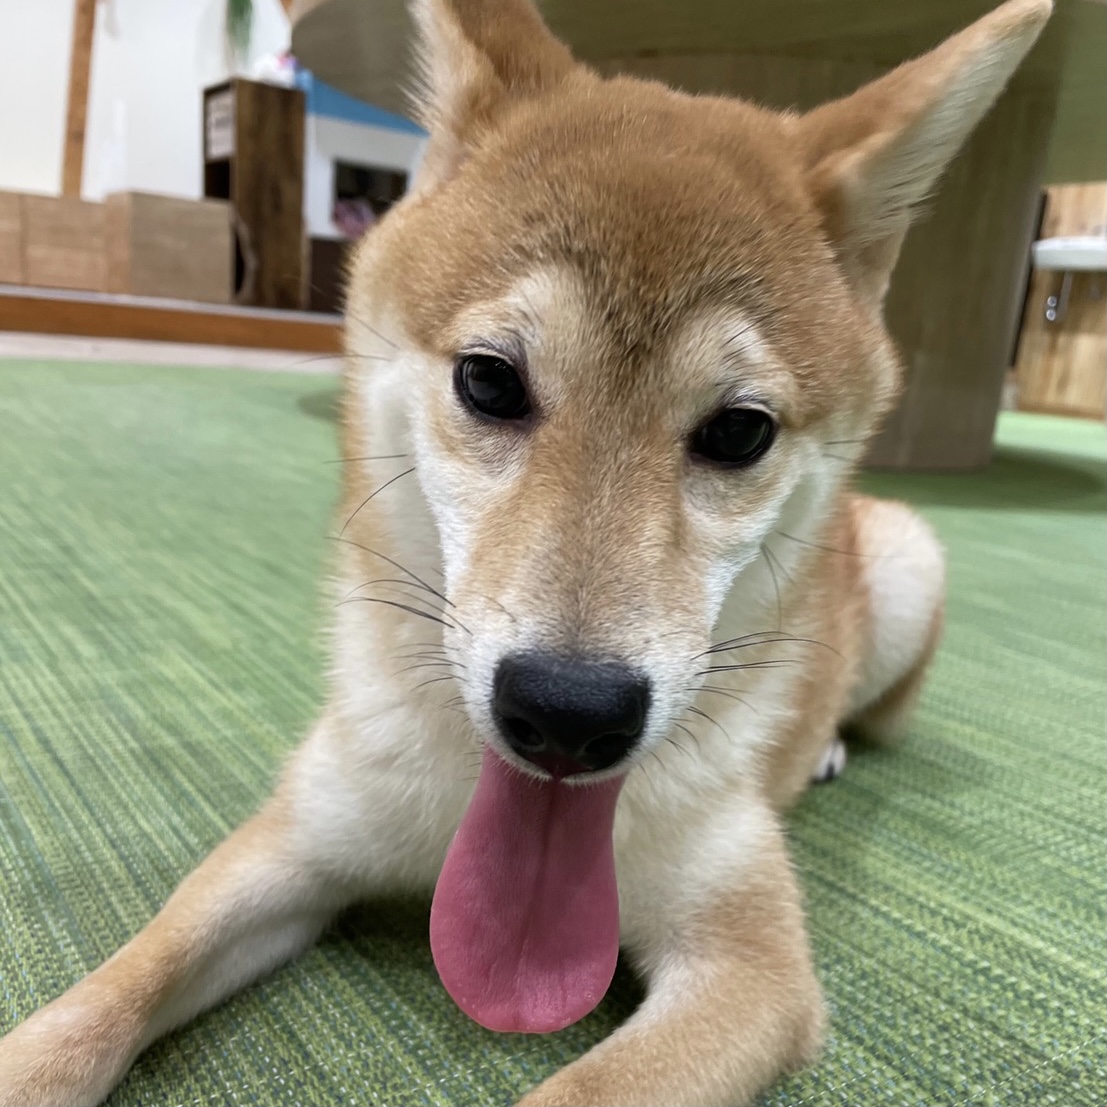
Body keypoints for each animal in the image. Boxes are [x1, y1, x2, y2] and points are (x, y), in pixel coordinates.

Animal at [0, 2, 1053, 1107]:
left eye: (738, 432)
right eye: (490, 380)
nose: (568, 712)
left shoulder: (746, 967)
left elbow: (586, 1091)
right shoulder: (294, 845)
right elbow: (116, 987)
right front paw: (37, 1054)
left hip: (907, 565)